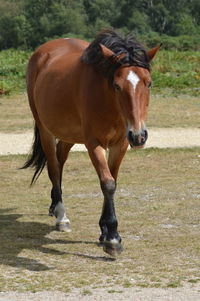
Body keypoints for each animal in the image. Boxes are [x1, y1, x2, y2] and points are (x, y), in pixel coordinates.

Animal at [22, 29, 161, 255]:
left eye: (148, 83)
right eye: (116, 85)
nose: (139, 136)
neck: (108, 102)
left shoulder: (120, 144)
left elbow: (112, 180)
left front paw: (105, 231)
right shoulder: (94, 143)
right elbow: (107, 183)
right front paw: (112, 238)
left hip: (69, 135)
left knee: (60, 161)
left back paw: (53, 206)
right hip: (45, 130)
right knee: (54, 168)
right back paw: (61, 216)